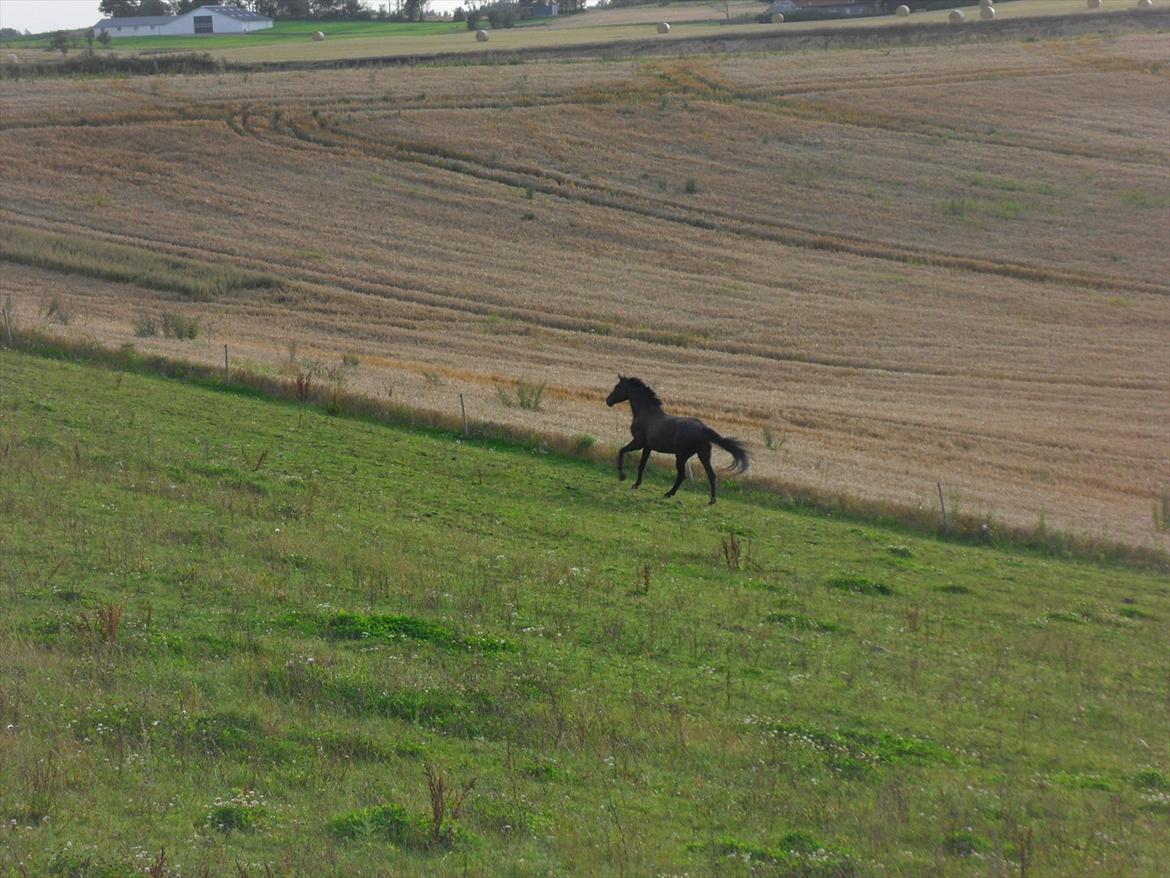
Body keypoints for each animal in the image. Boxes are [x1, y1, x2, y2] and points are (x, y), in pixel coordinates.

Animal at [603, 374, 748, 505]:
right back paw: (712, 500)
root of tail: (704, 429)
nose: (608, 401)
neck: (646, 413)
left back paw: (669, 493)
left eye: (617, 387)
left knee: (682, 475)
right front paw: (636, 484)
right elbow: (641, 465)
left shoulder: (638, 443)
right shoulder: (648, 447)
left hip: (681, 456)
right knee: (711, 475)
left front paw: (622, 476)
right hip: (703, 456)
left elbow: (621, 451)